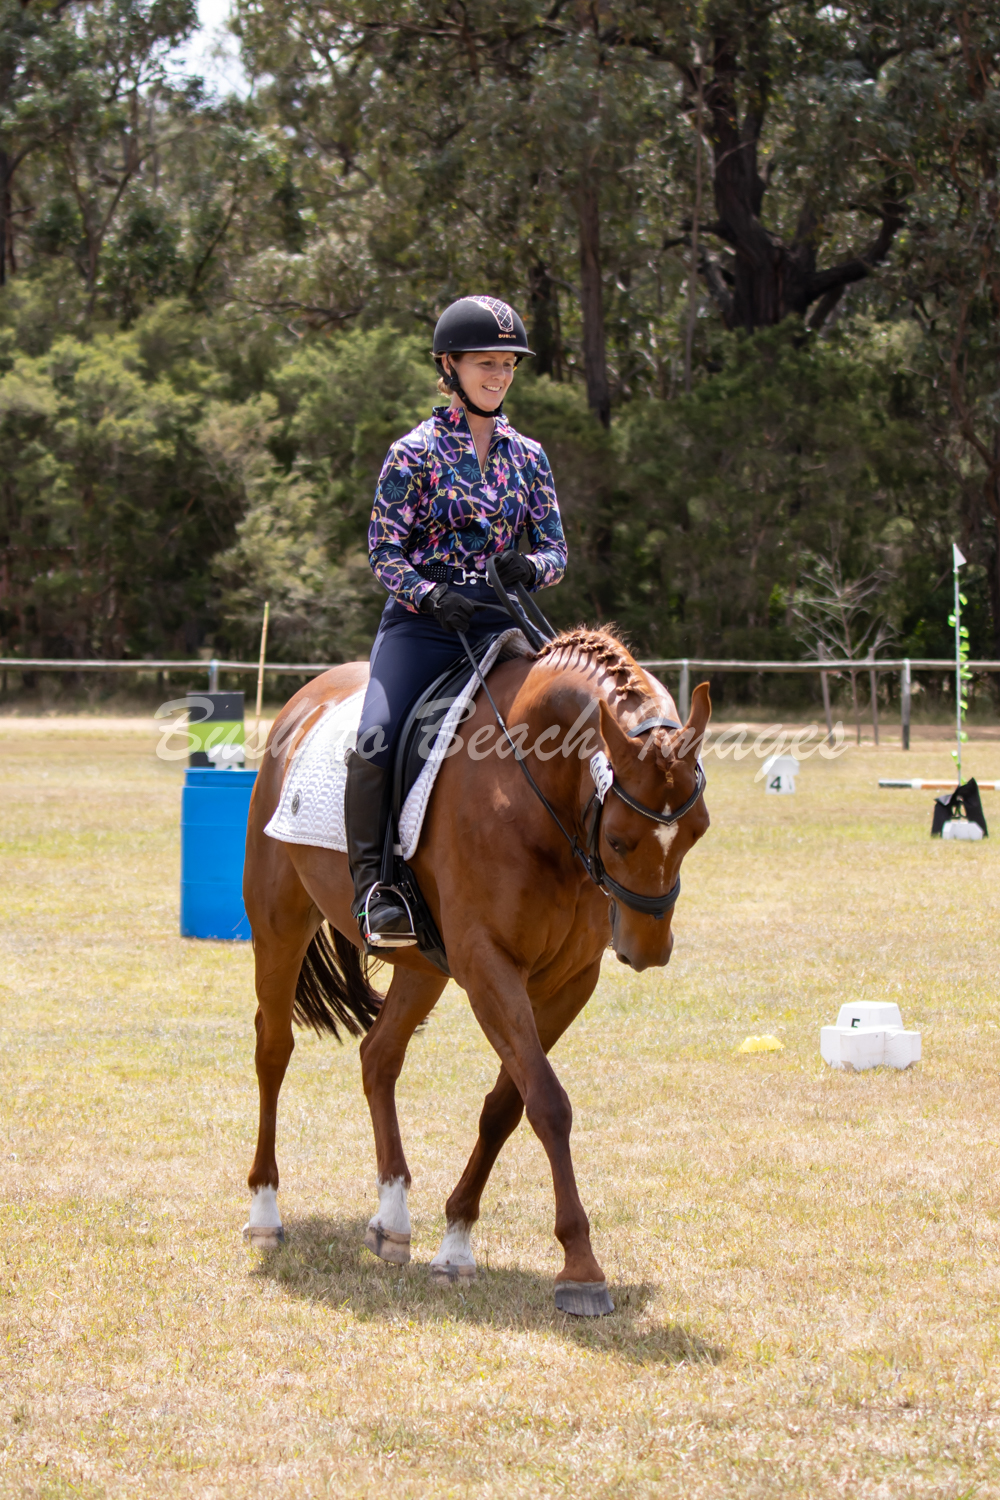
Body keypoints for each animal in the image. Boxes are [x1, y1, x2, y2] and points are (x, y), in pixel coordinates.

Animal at [242, 626, 711, 1316]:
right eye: (620, 839)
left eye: (698, 831)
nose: (648, 948)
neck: (536, 791)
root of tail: (305, 700)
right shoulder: (490, 964)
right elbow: (549, 1103)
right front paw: (581, 1267)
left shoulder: (568, 981)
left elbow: (507, 1106)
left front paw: (456, 1242)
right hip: (279, 923)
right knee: (273, 1049)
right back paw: (265, 1211)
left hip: (421, 964)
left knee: (379, 1055)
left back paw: (392, 1219)